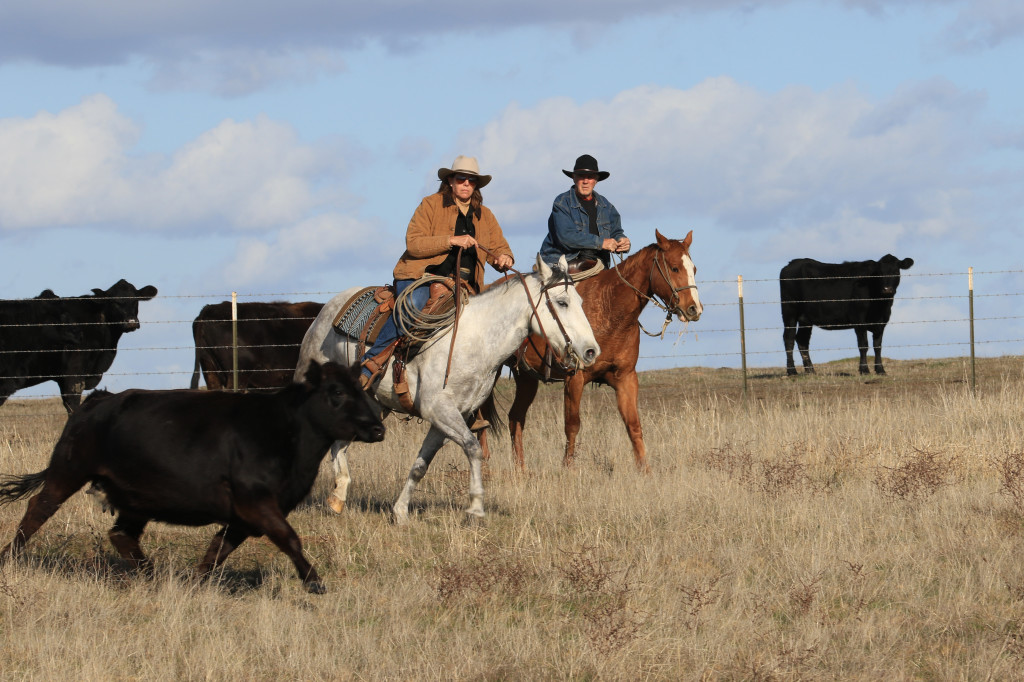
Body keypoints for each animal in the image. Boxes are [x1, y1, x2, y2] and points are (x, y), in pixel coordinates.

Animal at [0, 358, 385, 593]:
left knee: (121, 534)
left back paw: (152, 576)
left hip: (137, 497)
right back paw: (10, 557)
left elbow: (218, 550)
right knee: (38, 510)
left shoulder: (243, 515)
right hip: (69, 469)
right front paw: (314, 582)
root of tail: (97, 399)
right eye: (337, 392)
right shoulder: (255, 500)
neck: (285, 432)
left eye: (363, 390)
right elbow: (289, 538)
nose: (378, 428)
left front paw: (196, 584)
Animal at [483, 231, 700, 471]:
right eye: (674, 268)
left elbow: (633, 424)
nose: (694, 309)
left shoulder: (625, 377)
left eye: (694, 269)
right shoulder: (574, 378)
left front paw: (645, 471)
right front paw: (567, 468)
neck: (610, 307)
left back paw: (520, 469)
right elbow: (572, 425)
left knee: (515, 417)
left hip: (526, 378)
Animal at [778, 253, 917, 374]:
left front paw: (880, 370)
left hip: (805, 318)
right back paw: (792, 371)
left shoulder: (881, 322)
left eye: (895, 271)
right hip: (789, 311)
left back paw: (811, 371)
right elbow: (863, 345)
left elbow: (878, 346)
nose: (887, 289)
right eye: (880, 273)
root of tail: (791, 263)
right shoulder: (859, 319)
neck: (880, 305)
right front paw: (864, 370)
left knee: (802, 340)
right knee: (789, 338)